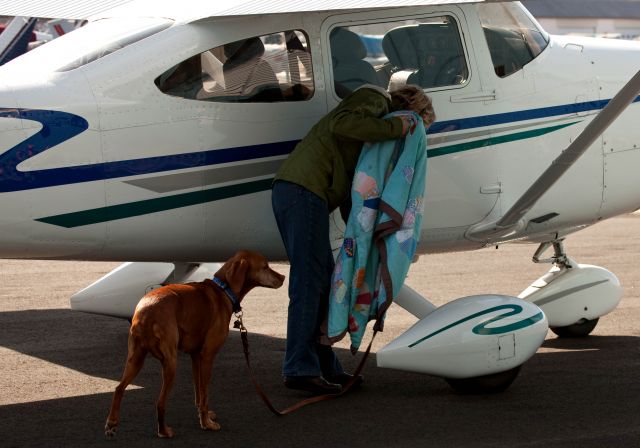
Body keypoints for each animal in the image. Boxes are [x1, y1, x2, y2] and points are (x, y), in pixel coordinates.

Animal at [105, 250, 284, 440]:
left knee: (119, 389)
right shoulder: (208, 356)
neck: (223, 290)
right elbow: (205, 393)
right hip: (170, 363)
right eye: (265, 266)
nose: (283, 277)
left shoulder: (195, 356)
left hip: (135, 359)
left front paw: (204, 416)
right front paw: (207, 424)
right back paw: (163, 431)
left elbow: (198, 392)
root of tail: (145, 312)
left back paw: (111, 424)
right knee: (159, 402)